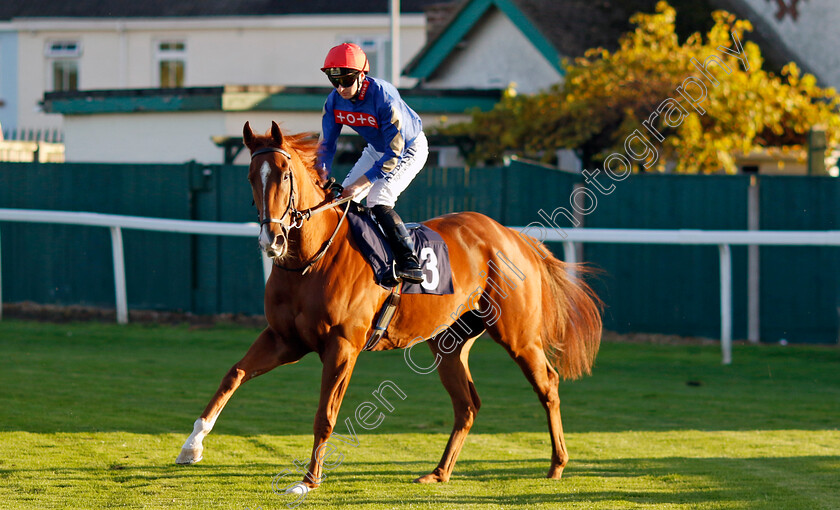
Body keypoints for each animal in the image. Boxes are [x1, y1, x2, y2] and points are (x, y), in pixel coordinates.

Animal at [174, 121, 600, 492]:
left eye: (283, 175)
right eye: (251, 176)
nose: (272, 240)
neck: (310, 260)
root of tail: (510, 235)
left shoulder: (342, 345)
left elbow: (325, 414)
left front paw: (308, 480)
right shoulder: (284, 339)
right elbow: (234, 374)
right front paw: (192, 445)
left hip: (518, 336)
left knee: (548, 385)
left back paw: (557, 464)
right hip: (449, 343)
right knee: (467, 404)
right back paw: (439, 472)